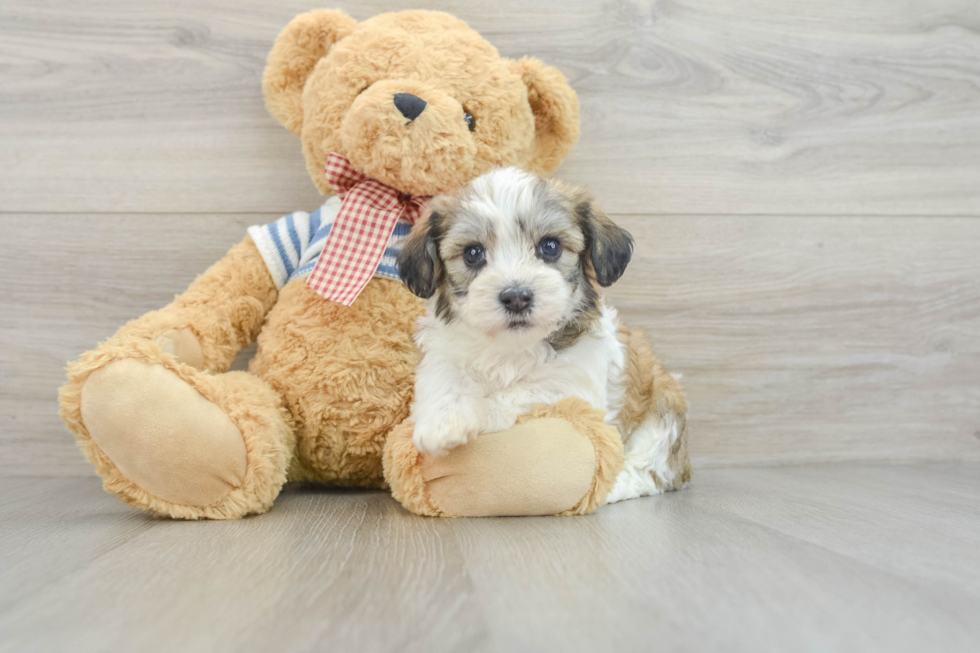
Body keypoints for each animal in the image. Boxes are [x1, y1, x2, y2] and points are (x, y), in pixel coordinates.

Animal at [396, 167, 688, 500]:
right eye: (472, 253)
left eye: (550, 246)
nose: (516, 297)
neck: (511, 347)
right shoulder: (444, 351)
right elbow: (444, 377)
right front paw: (442, 422)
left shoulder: (573, 383)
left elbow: (522, 392)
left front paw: (482, 410)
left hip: (665, 408)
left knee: (650, 470)